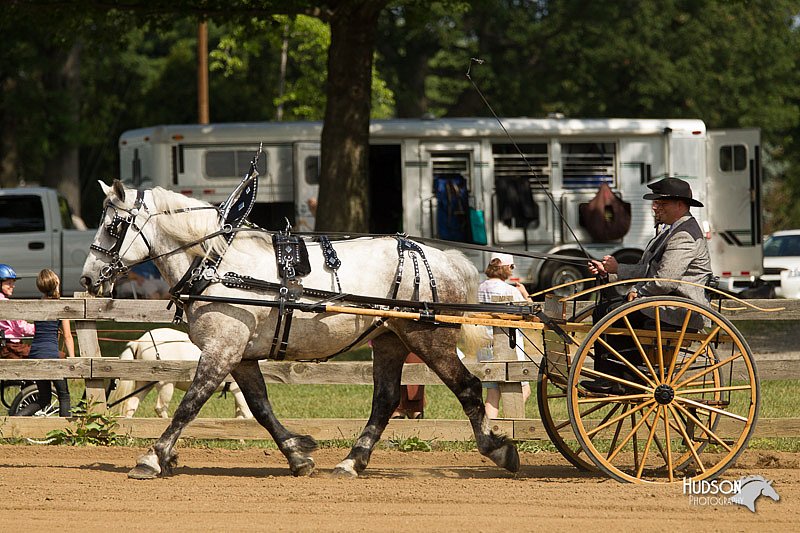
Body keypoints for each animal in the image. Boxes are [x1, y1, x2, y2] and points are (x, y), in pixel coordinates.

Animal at [109, 328, 253, 420]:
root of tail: (139, 341)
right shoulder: (237, 390)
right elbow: (248, 414)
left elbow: (240, 414)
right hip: (166, 385)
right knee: (160, 408)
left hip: (144, 383)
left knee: (131, 404)